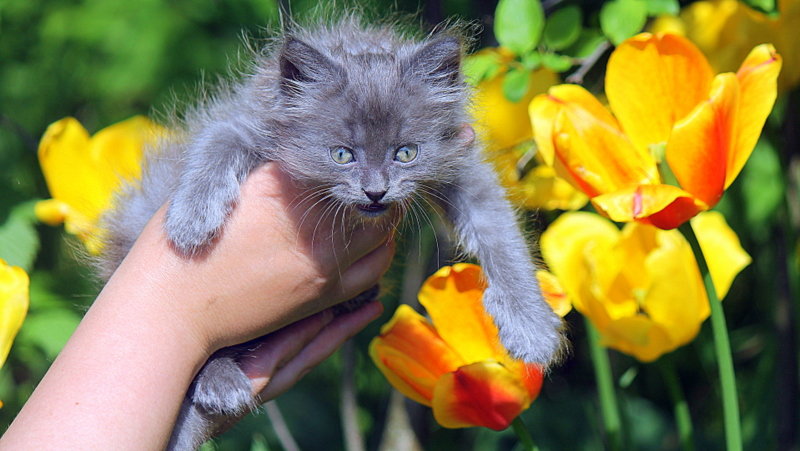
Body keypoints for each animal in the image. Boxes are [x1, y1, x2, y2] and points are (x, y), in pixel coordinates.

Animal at [98, 15, 564, 451]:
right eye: (342, 155)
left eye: (405, 153)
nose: (375, 191)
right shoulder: (245, 121)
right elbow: (214, 147)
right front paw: (191, 217)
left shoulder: (466, 168)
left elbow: (502, 237)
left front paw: (531, 325)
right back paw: (220, 381)